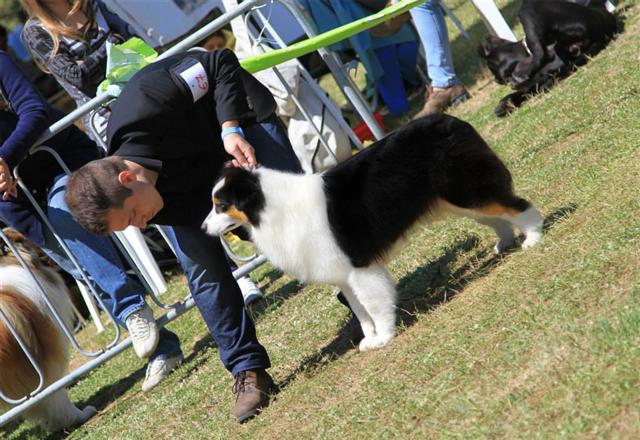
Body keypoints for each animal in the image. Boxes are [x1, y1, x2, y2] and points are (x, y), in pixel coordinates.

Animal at [202, 113, 544, 350]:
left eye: (221, 205)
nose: (203, 228)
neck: (267, 206)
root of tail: (449, 119)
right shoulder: (343, 274)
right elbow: (359, 310)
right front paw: (370, 339)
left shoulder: (360, 267)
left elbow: (374, 303)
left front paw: (385, 337)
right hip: (456, 200)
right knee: (497, 215)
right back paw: (505, 242)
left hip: (465, 189)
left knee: (517, 206)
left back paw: (533, 237)